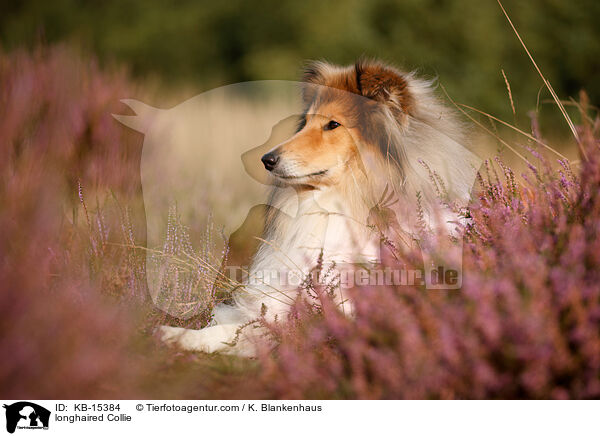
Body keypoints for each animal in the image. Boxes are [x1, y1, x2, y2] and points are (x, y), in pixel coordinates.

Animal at [159, 58, 478, 356]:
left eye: (333, 124)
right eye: (306, 123)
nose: (267, 160)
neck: (340, 204)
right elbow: (235, 327)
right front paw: (177, 335)